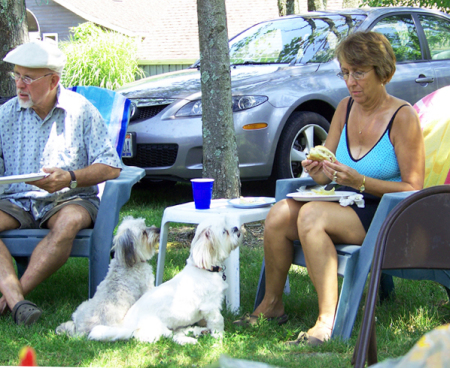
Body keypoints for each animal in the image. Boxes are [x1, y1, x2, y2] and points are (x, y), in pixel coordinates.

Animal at [89, 217, 243, 344]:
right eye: (224, 232)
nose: (236, 228)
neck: (205, 269)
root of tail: (126, 327)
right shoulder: (210, 306)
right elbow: (218, 321)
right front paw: (219, 337)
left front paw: (207, 329)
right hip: (156, 326)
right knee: (171, 336)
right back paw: (189, 340)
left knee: (179, 331)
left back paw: (198, 331)